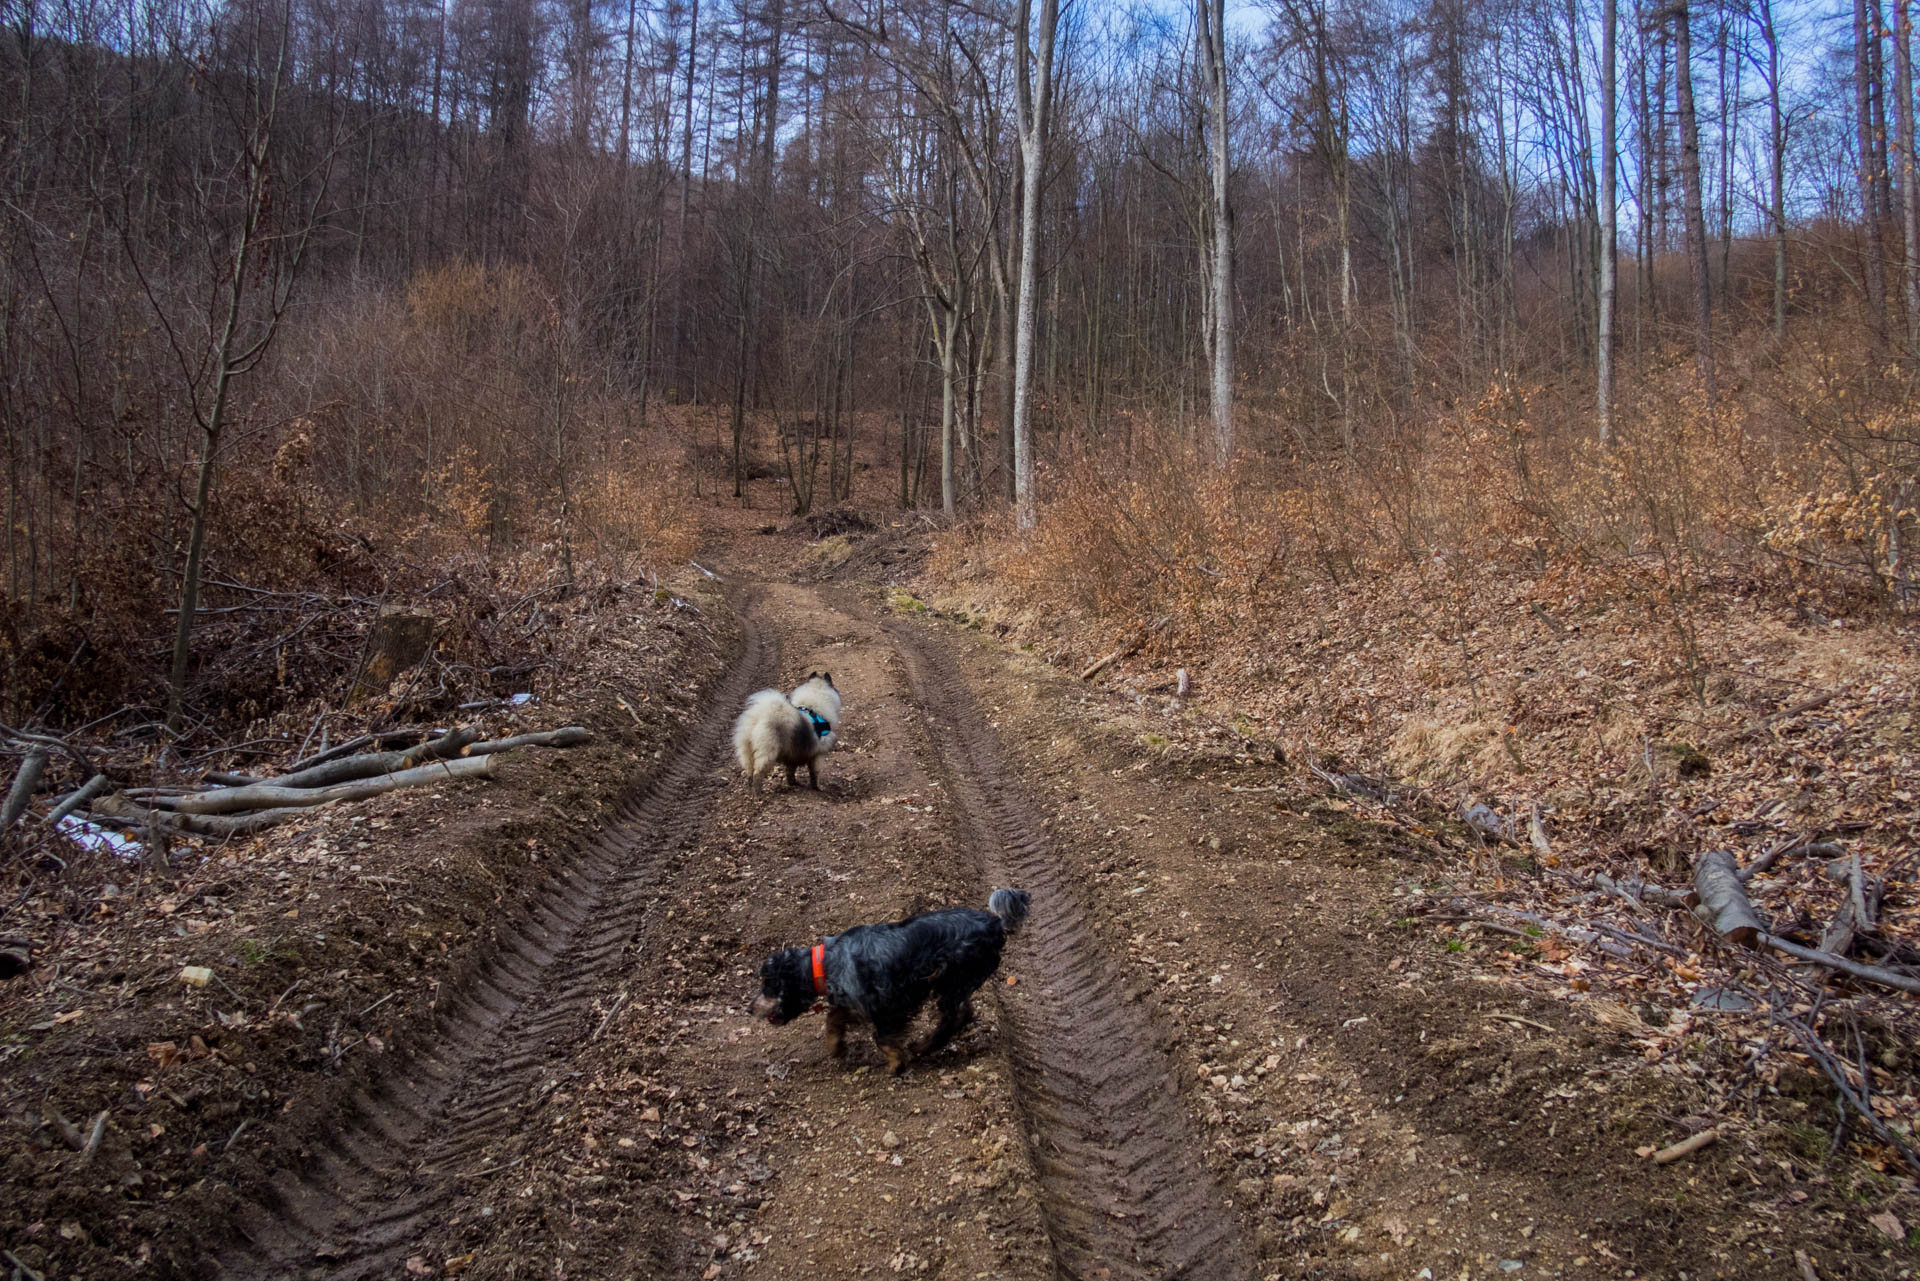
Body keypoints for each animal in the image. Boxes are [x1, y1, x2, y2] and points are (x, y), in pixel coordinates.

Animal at [748, 887, 1029, 1075]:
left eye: (767, 984)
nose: (749, 1009)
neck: (825, 964)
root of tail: (994, 922)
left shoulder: (888, 1003)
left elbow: (881, 1038)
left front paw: (896, 1063)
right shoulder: (856, 1004)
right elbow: (833, 1018)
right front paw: (836, 1047)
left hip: (951, 978)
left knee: (954, 1017)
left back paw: (923, 1047)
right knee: (963, 1012)